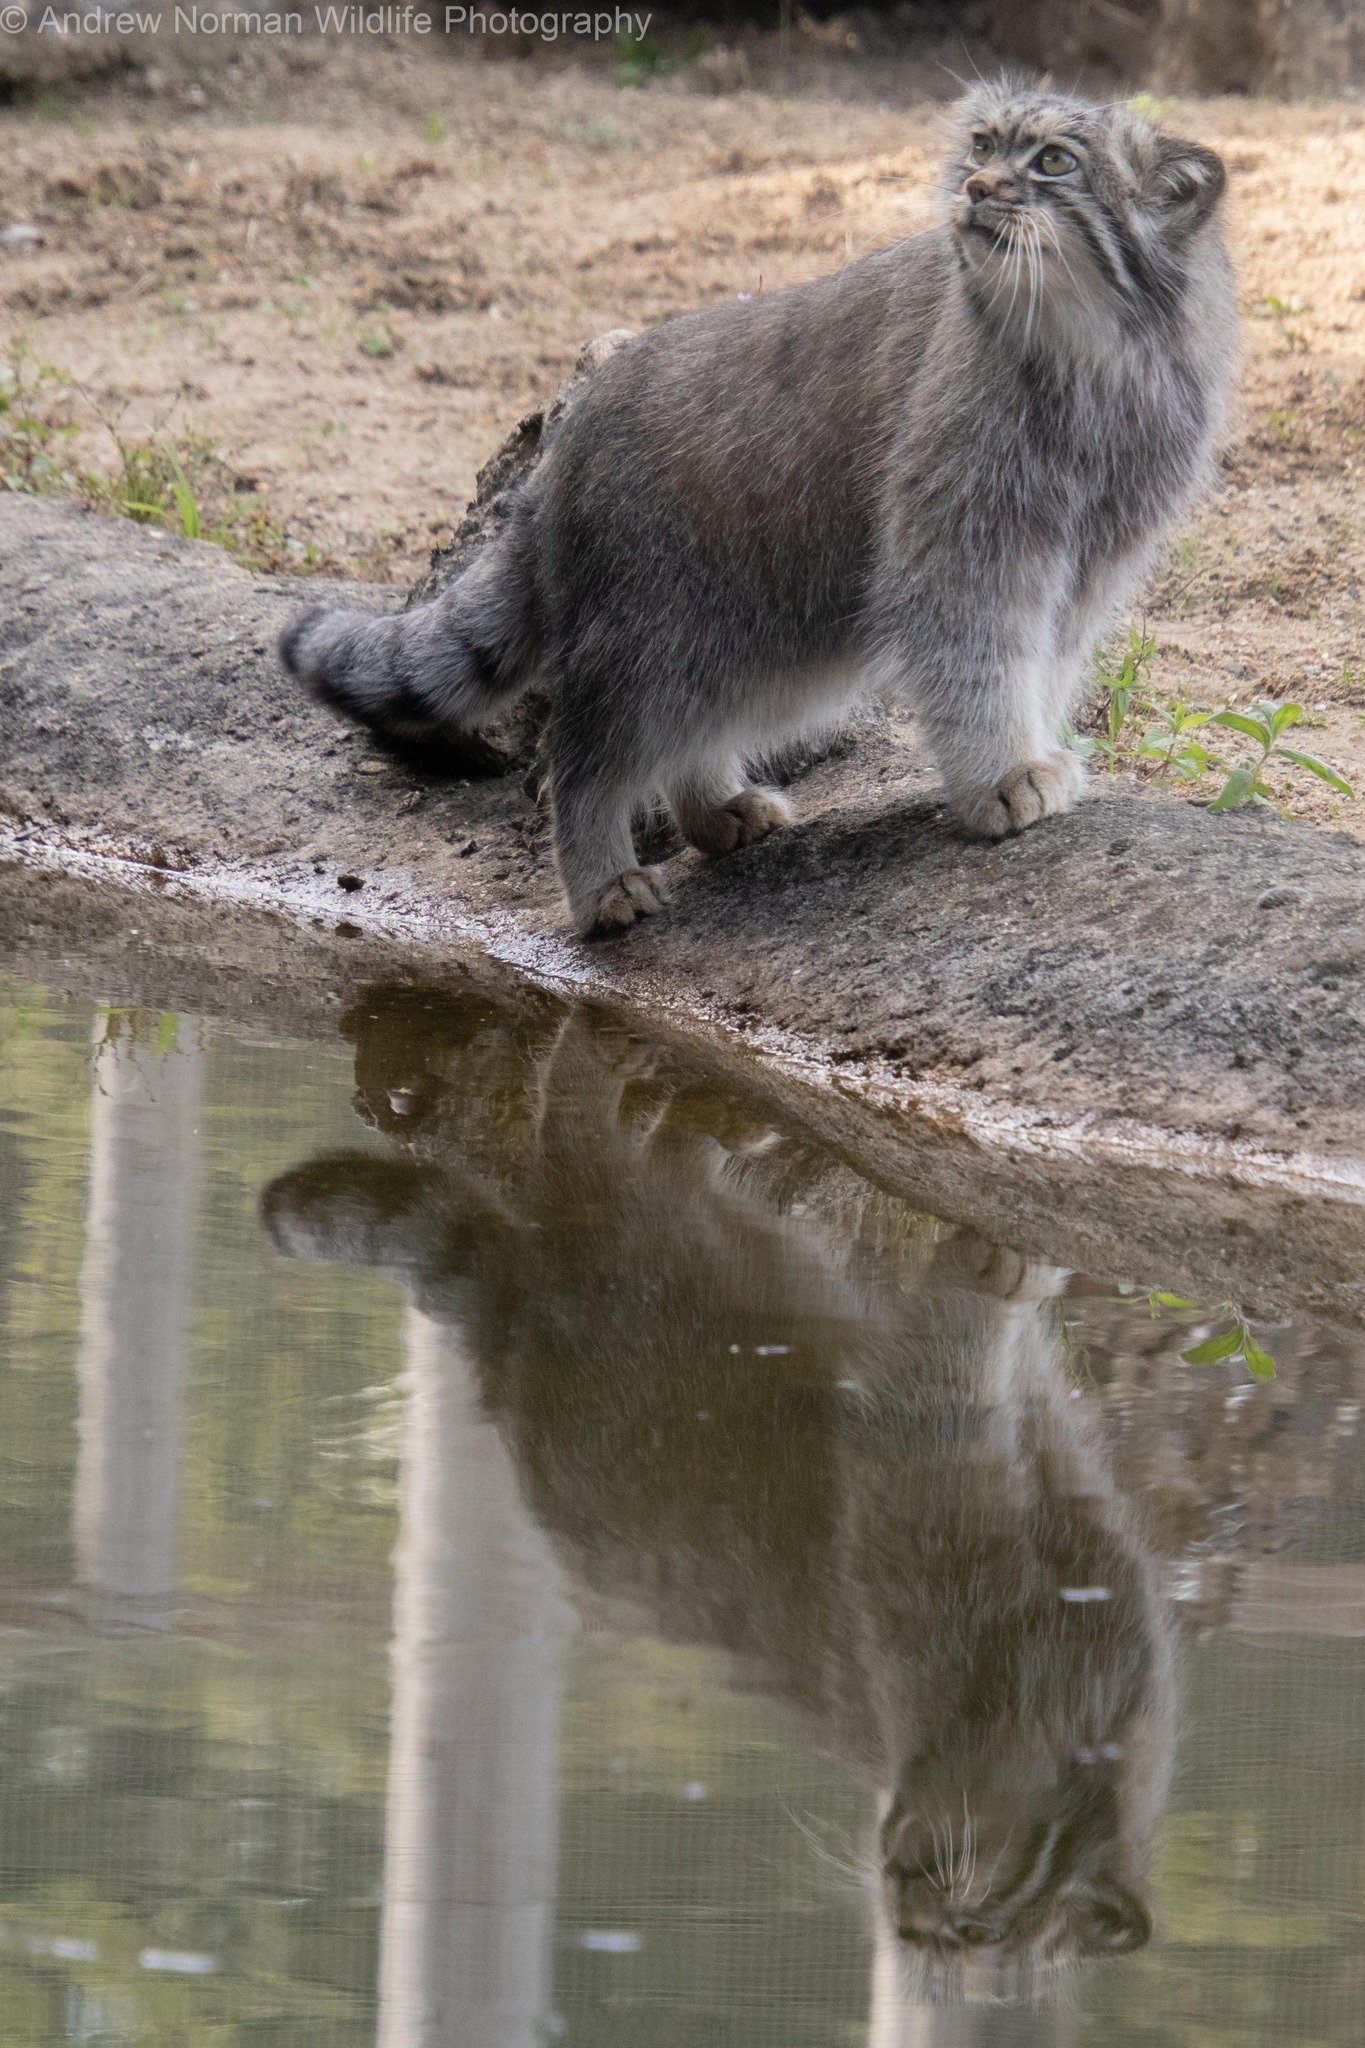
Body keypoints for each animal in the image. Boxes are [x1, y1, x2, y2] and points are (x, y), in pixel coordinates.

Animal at [280, 83, 1236, 937]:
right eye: (980, 147)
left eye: (1052, 162)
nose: (972, 187)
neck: (1091, 364)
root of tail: (563, 445)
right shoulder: (963, 545)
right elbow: (982, 663)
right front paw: (999, 776)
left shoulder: (1088, 563)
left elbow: (1043, 665)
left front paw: (1034, 752)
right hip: (649, 633)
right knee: (584, 758)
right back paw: (600, 886)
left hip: (748, 633)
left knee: (688, 729)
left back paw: (713, 811)